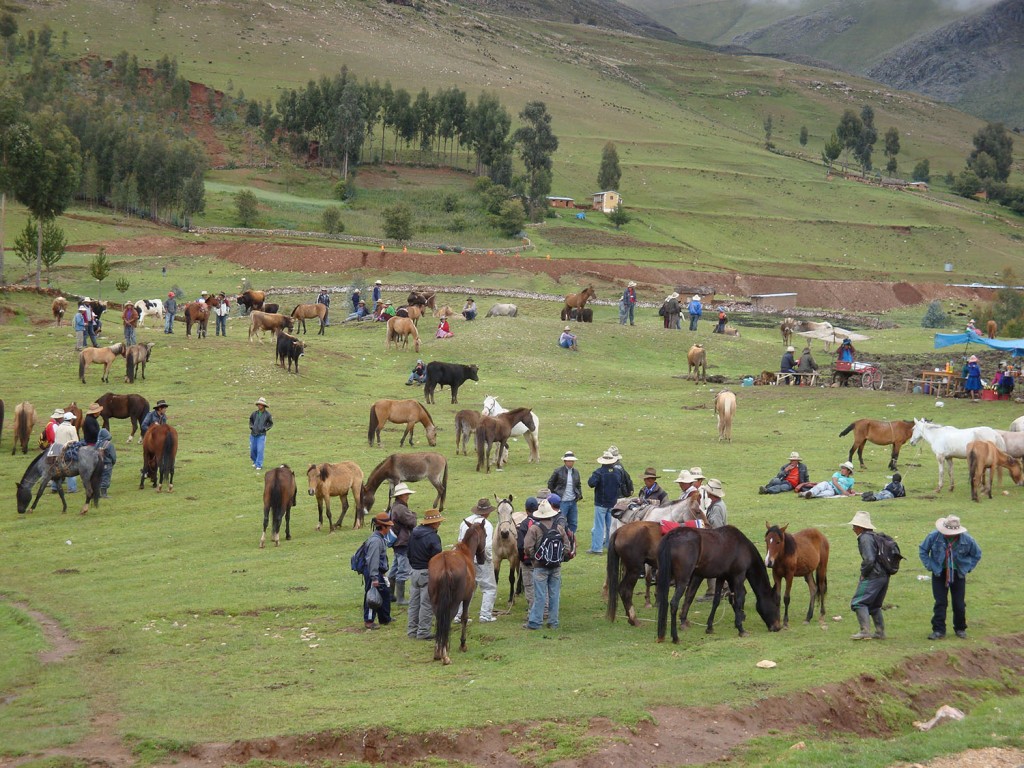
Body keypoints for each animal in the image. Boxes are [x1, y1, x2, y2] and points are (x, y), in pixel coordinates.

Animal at [425, 524, 485, 667]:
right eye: (486, 535)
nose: (482, 558)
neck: (465, 552)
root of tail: (445, 564)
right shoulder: (467, 597)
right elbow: (464, 618)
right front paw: (463, 644)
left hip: (435, 602)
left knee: (439, 620)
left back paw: (438, 652)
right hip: (454, 602)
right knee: (447, 620)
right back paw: (445, 654)